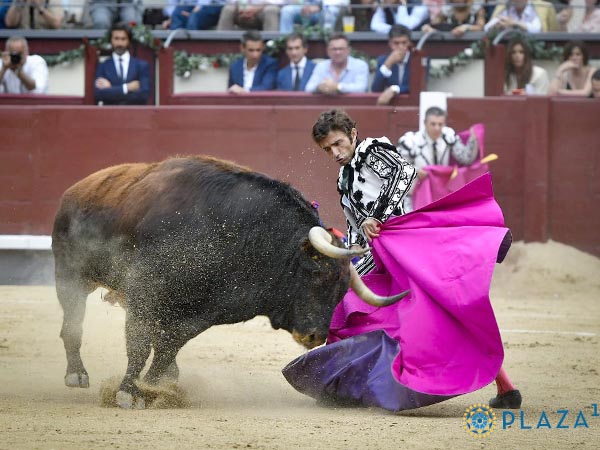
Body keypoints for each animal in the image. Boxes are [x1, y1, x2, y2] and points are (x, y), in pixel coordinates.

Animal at [52, 156, 406, 409]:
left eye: (342, 290)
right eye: (318, 275)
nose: (315, 336)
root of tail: (75, 190)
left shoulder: (205, 309)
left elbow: (168, 344)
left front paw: (153, 387)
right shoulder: (144, 292)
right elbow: (140, 344)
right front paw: (129, 392)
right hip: (70, 275)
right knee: (72, 325)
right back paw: (76, 375)